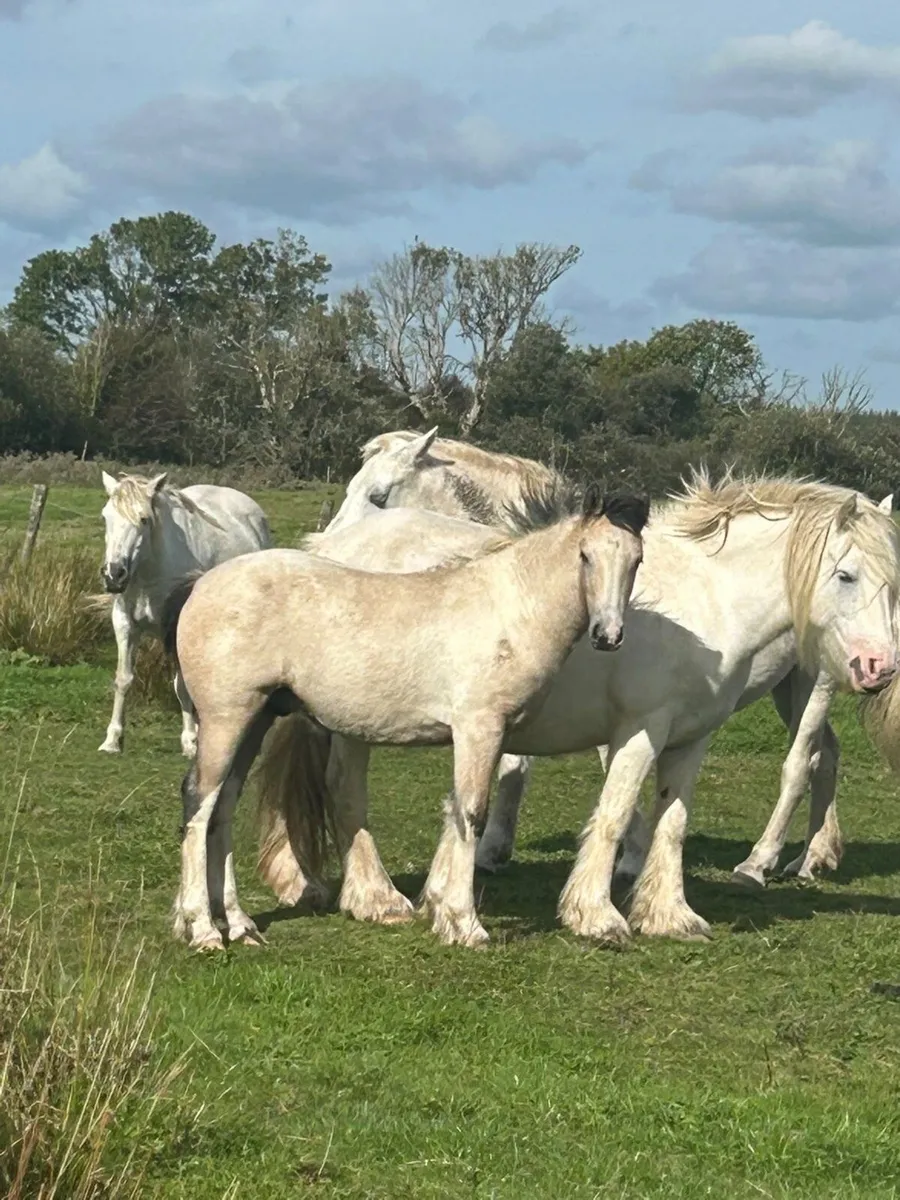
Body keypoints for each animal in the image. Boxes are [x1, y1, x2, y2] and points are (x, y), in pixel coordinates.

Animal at [98, 471, 271, 756]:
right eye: (105, 517)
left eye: (144, 519)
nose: (114, 574)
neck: (151, 572)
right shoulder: (124, 623)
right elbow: (123, 679)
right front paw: (112, 740)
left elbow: (181, 686)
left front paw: (189, 742)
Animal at [165, 487, 647, 951]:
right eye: (585, 555)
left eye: (636, 560)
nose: (608, 636)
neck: (508, 608)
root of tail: (200, 585)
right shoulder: (479, 729)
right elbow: (471, 814)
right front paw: (466, 925)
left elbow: (457, 810)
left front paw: (444, 915)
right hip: (226, 720)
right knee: (198, 802)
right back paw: (203, 930)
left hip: (257, 719)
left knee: (223, 808)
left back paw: (239, 925)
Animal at [259, 472, 899, 946]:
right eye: (846, 575)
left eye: (893, 584)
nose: (879, 667)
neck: (707, 597)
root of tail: (327, 548)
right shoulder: (640, 729)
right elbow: (614, 813)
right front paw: (597, 914)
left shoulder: (691, 738)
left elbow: (672, 823)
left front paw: (668, 914)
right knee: (342, 790)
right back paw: (372, 896)